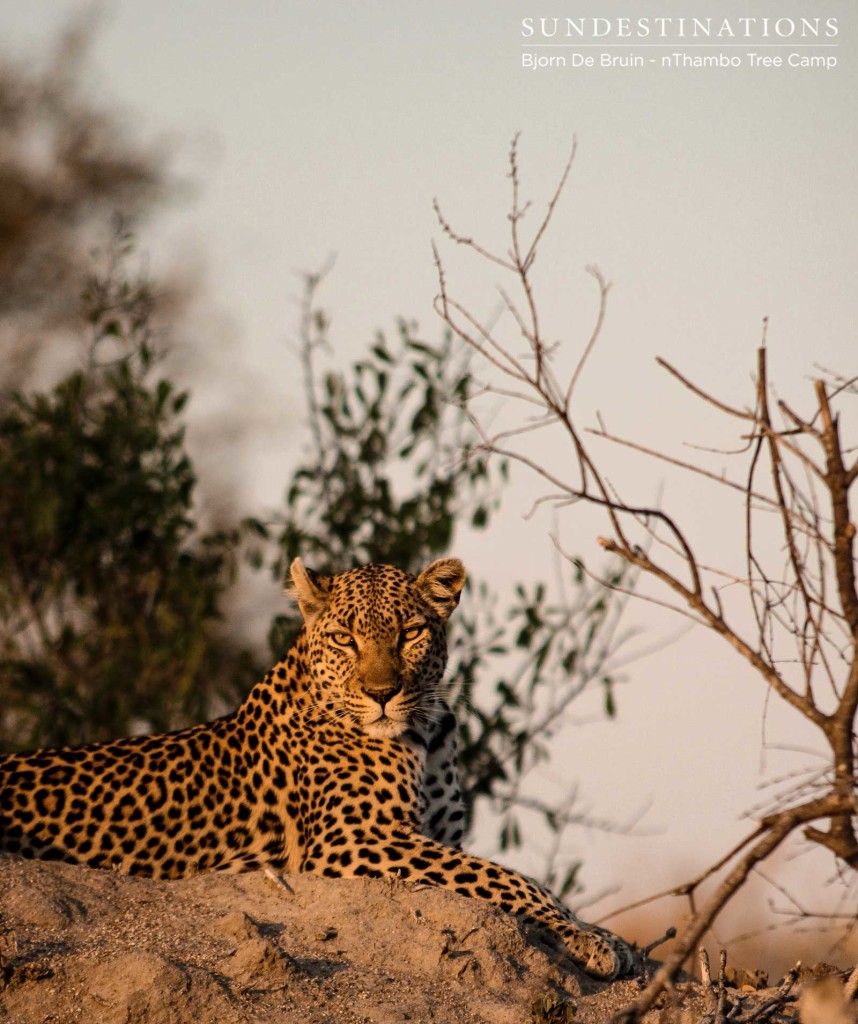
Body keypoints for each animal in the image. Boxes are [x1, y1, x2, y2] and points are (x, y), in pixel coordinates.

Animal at [0, 557, 630, 978]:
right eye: (346, 638)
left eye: (410, 633)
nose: (382, 693)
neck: (425, 735)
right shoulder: (354, 840)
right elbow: (505, 877)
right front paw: (589, 940)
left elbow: (501, 876)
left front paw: (599, 933)